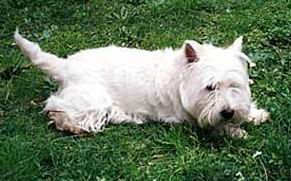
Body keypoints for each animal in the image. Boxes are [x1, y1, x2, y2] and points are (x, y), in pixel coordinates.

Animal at [14, 29, 270, 137]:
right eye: (210, 87)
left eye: (234, 86)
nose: (228, 112)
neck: (180, 77)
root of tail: (65, 66)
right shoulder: (189, 118)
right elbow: (212, 125)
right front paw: (236, 131)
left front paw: (254, 114)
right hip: (91, 99)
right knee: (56, 107)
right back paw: (73, 127)